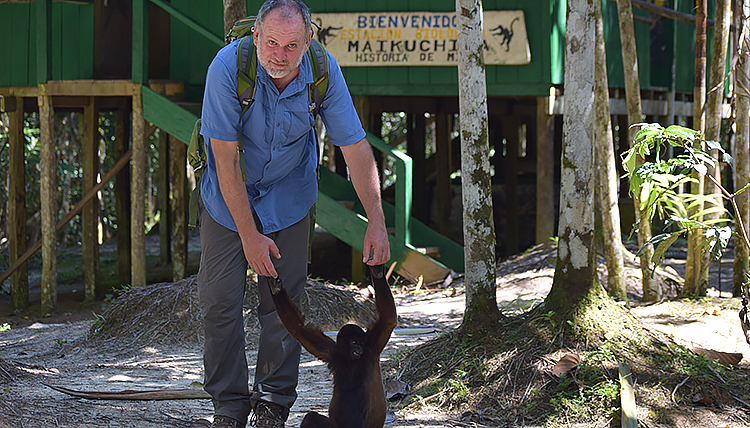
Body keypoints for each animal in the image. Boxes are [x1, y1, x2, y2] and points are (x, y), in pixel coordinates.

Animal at [268, 264, 400, 428]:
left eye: (361, 343)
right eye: (354, 342)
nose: (359, 349)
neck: (349, 359)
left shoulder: (371, 346)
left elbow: (389, 320)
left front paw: (377, 272)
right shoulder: (332, 352)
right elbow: (299, 328)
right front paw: (276, 289)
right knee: (310, 418)